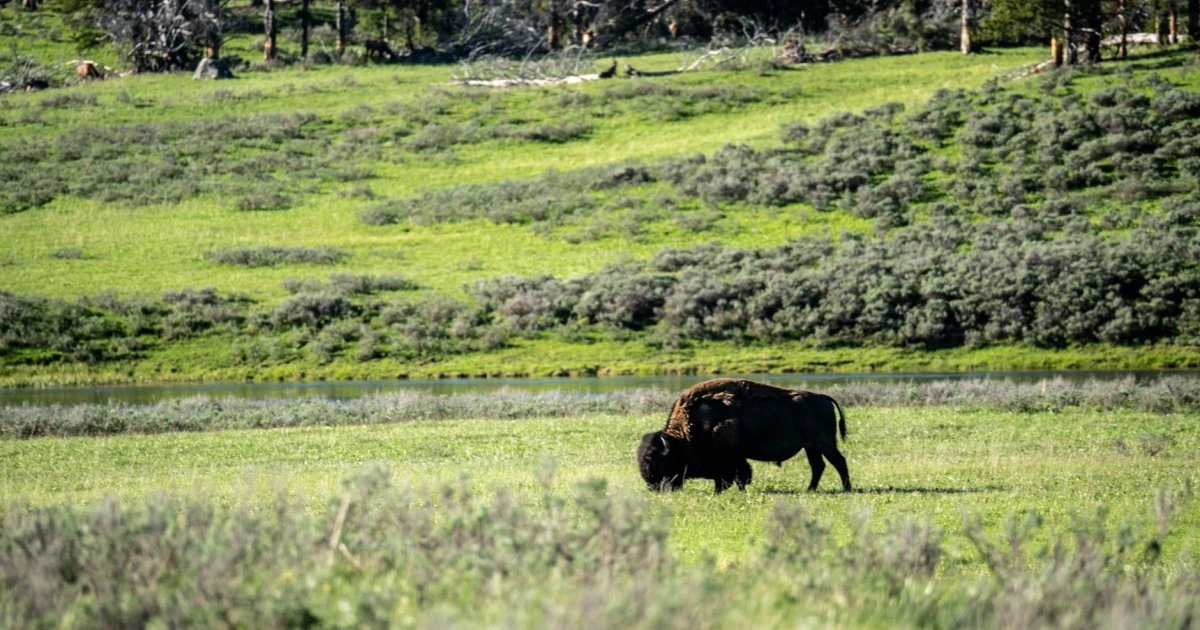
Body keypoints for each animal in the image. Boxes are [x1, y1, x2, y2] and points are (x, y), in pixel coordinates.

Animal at [636, 378, 852, 493]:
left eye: (658, 461)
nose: (653, 486)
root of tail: (824, 398)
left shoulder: (731, 457)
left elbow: (737, 475)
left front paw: (730, 491)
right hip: (811, 447)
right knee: (818, 466)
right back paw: (810, 489)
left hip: (824, 443)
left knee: (838, 461)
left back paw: (846, 488)